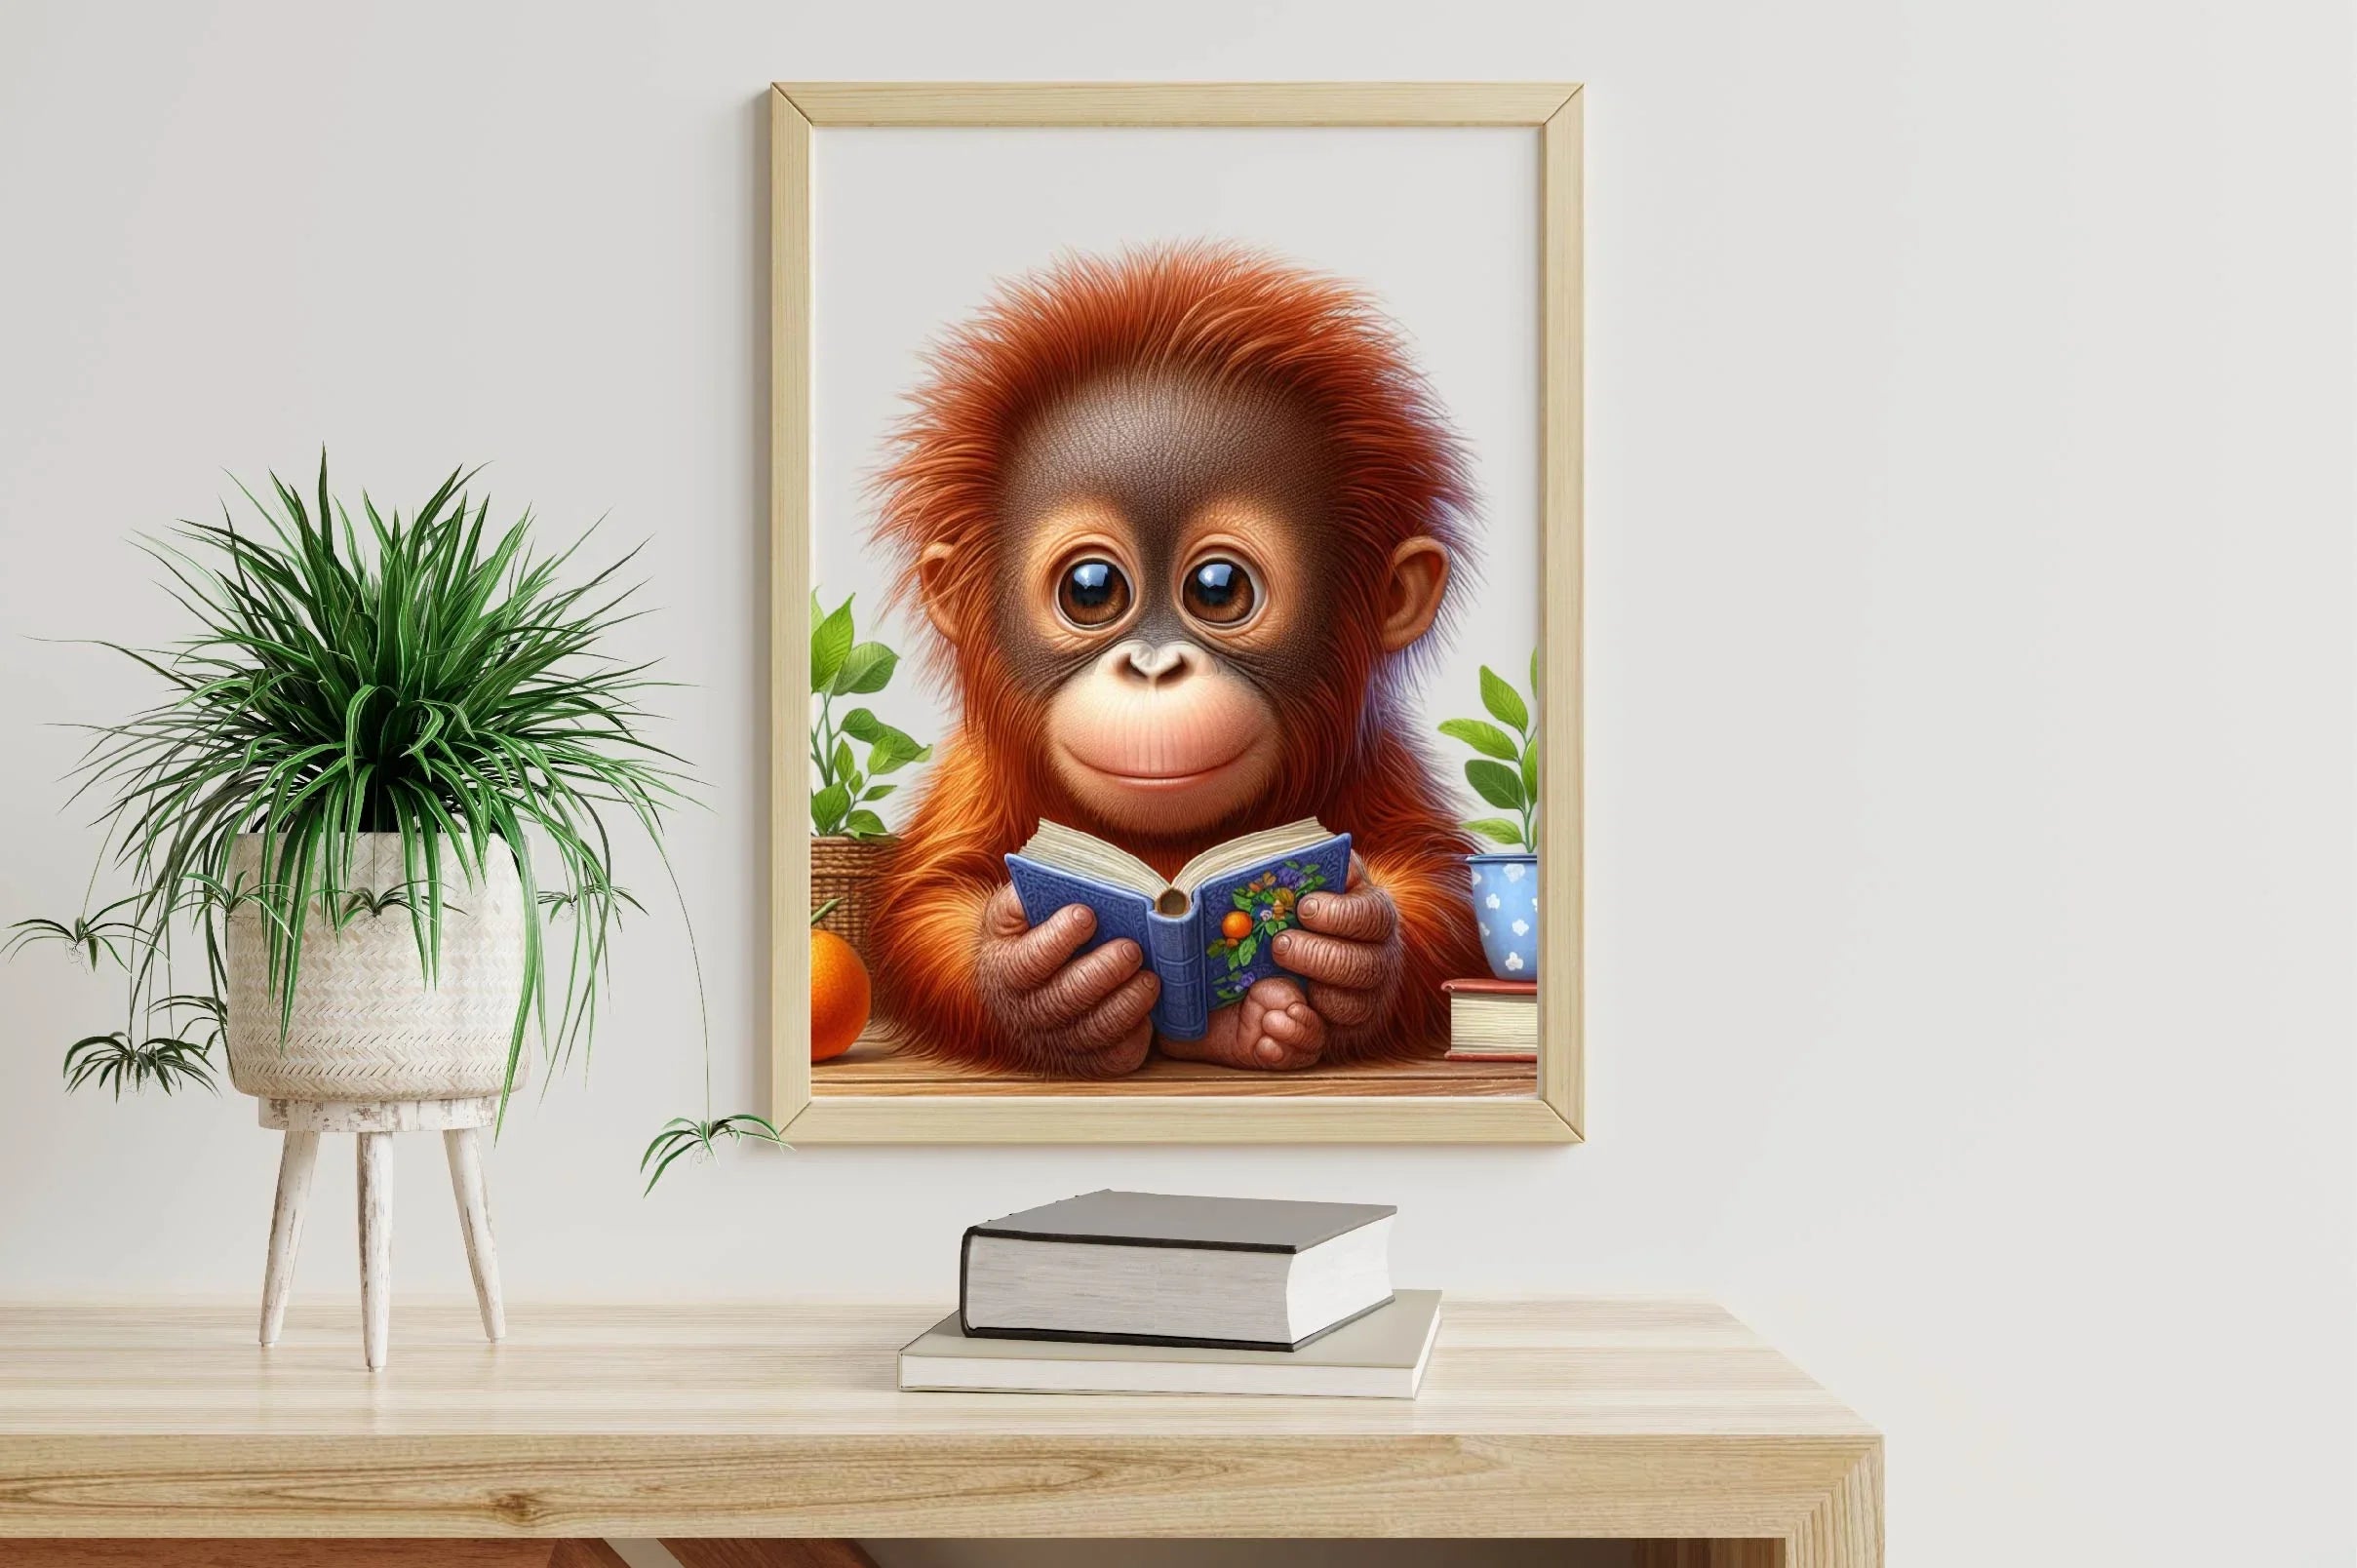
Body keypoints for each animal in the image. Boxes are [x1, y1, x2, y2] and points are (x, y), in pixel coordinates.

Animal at [863, 241, 1489, 1078]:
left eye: (1218, 589)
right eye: (1091, 589)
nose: (1154, 668)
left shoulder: (1377, 756)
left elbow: (1440, 886)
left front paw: (1351, 940)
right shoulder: (977, 775)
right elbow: (923, 903)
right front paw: (1040, 979)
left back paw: (1254, 1024)